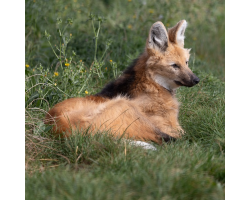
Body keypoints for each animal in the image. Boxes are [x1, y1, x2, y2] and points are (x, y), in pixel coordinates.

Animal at [46, 19, 200, 145]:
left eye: (186, 63)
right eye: (174, 66)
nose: (196, 80)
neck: (154, 84)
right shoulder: (168, 126)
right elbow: (183, 134)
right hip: (126, 106)